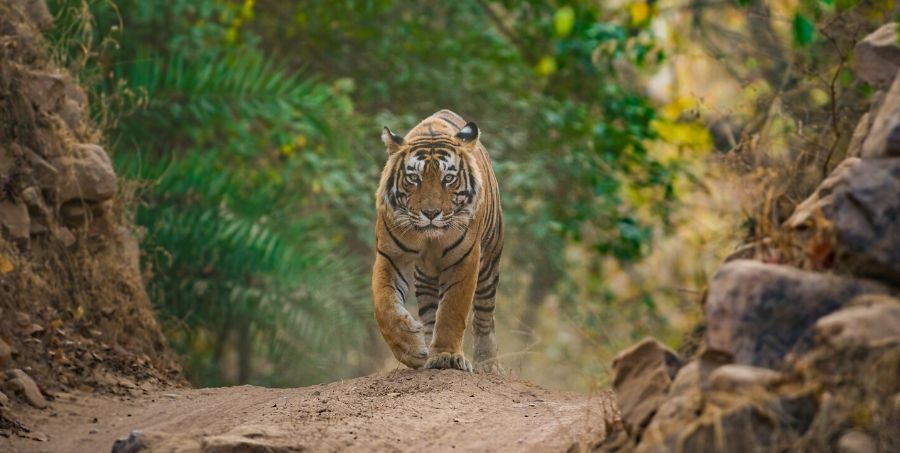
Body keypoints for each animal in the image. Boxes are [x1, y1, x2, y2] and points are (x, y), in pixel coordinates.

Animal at [372, 109, 504, 373]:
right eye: (414, 178)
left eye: (449, 178)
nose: (431, 213)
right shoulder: (390, 256)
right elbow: (385, 305)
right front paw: (412, 349)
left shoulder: (465, 259)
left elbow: (453, 309)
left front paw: (446, 356)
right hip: (424, 276)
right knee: (430, 311)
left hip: (489, 264)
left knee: (484, 315)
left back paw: (489, 364)